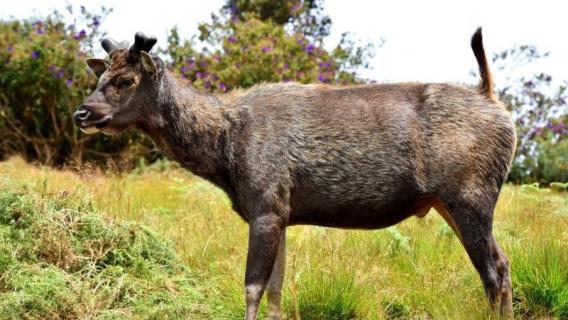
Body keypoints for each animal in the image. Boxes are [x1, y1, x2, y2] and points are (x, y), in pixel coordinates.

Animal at [75, 28, 520, 318]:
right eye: (99, 76)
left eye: (126, 79)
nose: (83, 112)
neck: (223, 153)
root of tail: (493, 100)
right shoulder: (282, 212)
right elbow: (276, 291)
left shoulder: (267, 203)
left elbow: (252, 288)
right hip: (451, 201)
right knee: (501, 266)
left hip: (470, 194)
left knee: (494, 270)